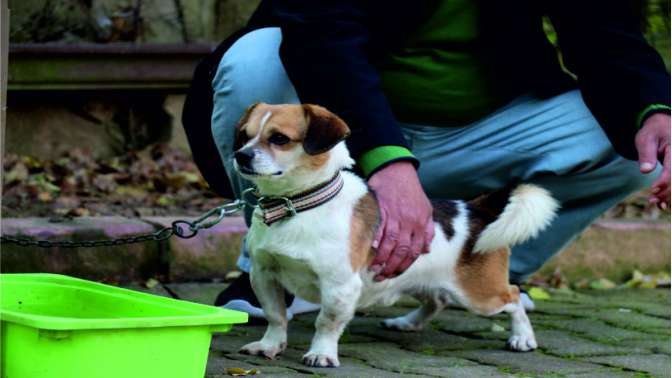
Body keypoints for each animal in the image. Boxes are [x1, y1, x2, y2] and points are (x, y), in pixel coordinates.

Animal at [234, 102, 560, 368]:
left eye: (279, 138)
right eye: (245, 135)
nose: (241, 155)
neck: (297, 206)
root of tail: (474, 208)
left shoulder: (340, 286)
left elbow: (326, 322)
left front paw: (322, 354)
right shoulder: (264, 275)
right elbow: (276, 316)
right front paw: (270, 346)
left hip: (479, 296)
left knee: (513, 297)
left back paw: (523, 338)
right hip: (415, 277)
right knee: (437, 300)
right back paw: (406, 322)